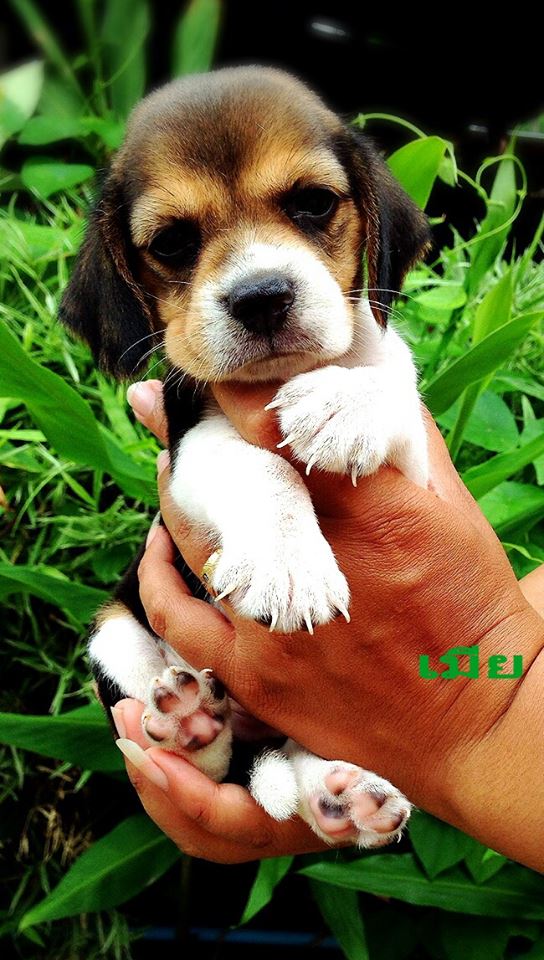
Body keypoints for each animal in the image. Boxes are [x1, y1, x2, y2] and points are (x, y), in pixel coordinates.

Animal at [60, 66, 430, 847]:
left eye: (313, 203)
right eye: (172, 242)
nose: (261, 297)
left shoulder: (416, 462)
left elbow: (394, 378)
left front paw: (343, 403)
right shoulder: (190, 448)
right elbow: (262, 465)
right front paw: (288, 566)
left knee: (281, 753)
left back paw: (341, 796)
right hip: (113, 635)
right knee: (222, 759)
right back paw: (191, 723)